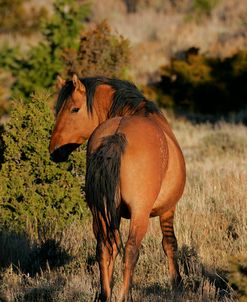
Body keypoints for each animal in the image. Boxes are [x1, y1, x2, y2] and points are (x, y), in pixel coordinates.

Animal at [49, 74, 186, 300]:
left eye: (74, 109)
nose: (54, 151)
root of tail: (117, 134)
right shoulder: (168, 209)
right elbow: (170, 244)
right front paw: (177, 283)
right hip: (140, 215)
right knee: (130, 251)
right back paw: (124, 295)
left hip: (98, 212)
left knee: (104, 249)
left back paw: (105, 294)